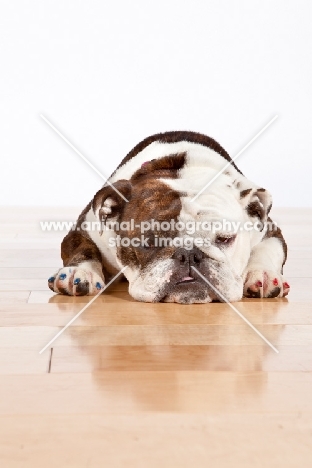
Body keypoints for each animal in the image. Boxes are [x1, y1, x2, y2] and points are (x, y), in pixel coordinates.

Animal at [48, 131, 290, 304]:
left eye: (225, 239)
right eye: (148, 242)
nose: (189, 254)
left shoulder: (268, 228)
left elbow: (268, 248)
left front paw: (262, 274)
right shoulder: (84, 228)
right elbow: (84, 249)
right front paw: (80, 272)